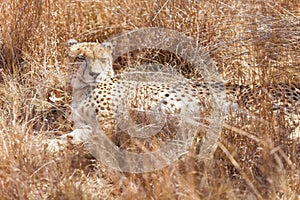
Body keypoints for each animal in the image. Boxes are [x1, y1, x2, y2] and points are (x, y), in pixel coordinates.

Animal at [47, 39, 300, 151]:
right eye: (81, 57)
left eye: (102, 58)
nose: (94, 73)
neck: (83, 89)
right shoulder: (87, 123)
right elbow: (73, 133)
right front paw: (51, 144)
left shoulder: (108, 126)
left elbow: (84, 136)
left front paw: (51, 145)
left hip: (260, 105)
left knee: (281, 125)